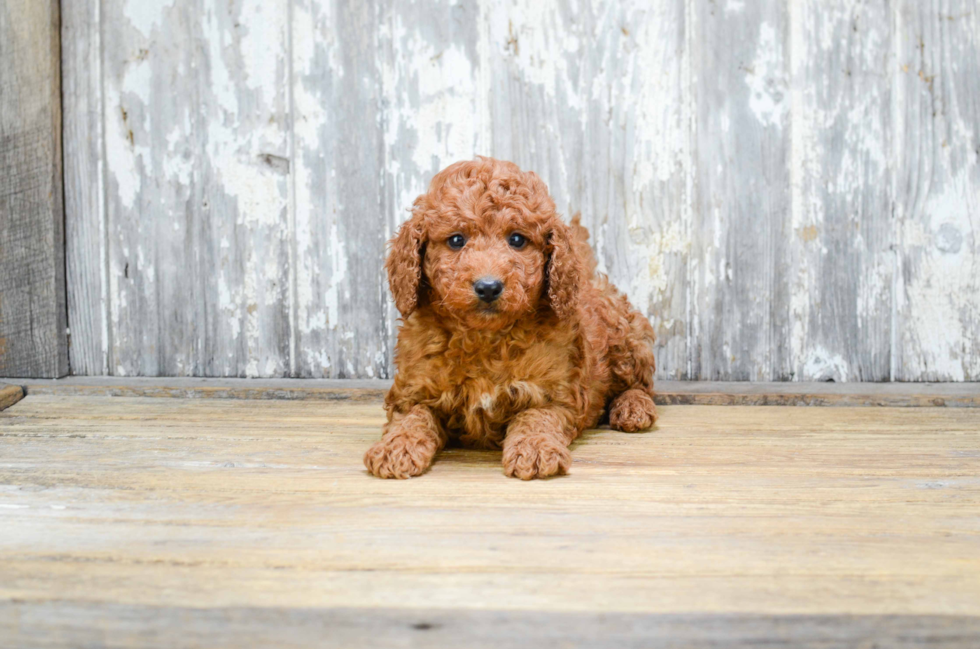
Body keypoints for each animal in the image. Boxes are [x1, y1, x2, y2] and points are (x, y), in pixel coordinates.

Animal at [368, 157, 660, 478]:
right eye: (456, 240)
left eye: (517, 239)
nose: (488, 287)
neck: (484, 337)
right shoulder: (413, 391)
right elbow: (412, 417)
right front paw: (397, 447)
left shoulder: (555, 395)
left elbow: (535, 418)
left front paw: (535, 449)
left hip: (624, 338)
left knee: (640, 384)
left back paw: (634, 408)